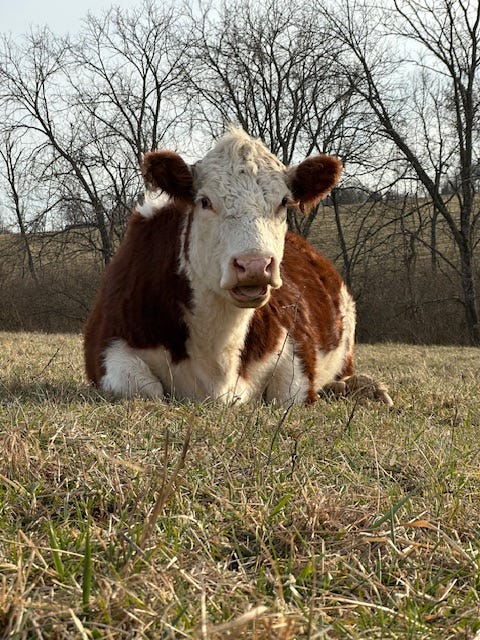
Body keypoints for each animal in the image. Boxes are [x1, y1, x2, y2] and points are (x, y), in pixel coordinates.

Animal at [84, 127, 392, 406]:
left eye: (283, 202)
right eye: (205, 201)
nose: (254, 264)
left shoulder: (297, 345)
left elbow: (288, 395)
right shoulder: (107, 346)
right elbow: (143, 389)